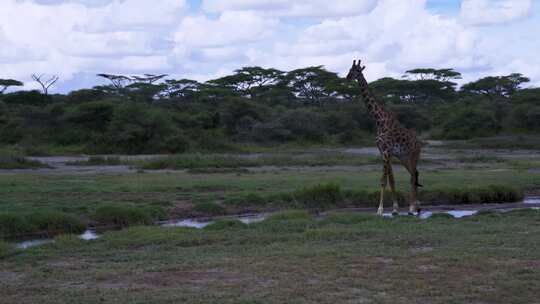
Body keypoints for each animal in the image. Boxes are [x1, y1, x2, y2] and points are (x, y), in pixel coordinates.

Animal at [346, 60, 422, 216]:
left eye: (356, 71)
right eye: (350, 69)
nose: (347, 77)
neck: (379, 121)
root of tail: (419, 142)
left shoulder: (387, 151)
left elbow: (383, 180)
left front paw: (380, 210)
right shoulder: (384, 152)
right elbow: (391, 180)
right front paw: (394, 209)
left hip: (413, 155)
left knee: (413, 176)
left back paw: (412, 208)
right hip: (403, 157)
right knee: (414, 174)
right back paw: (416, 207)